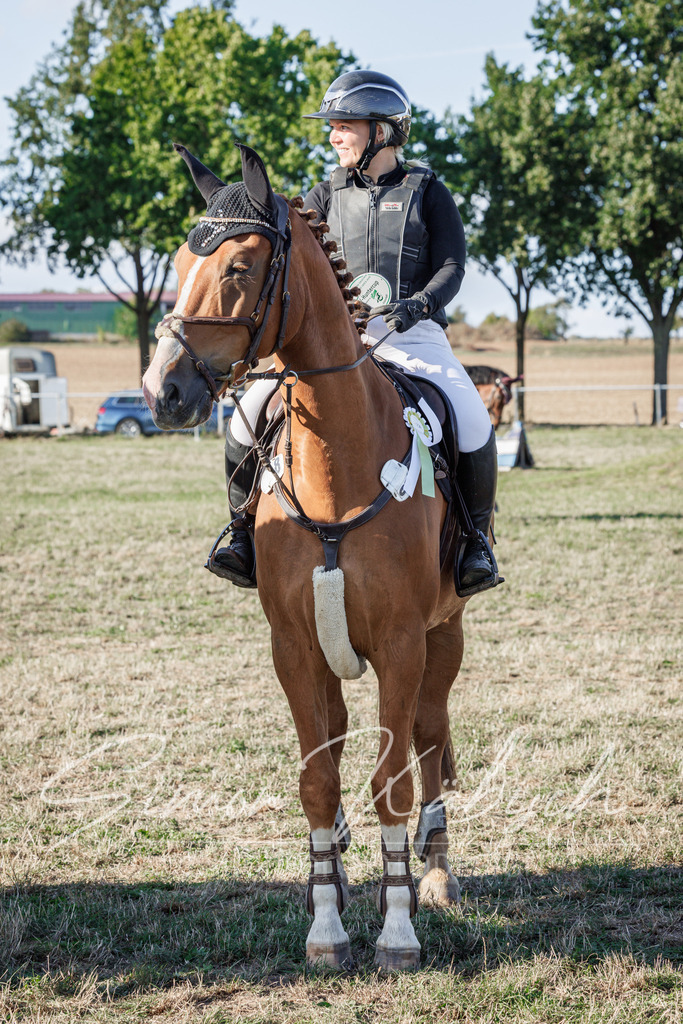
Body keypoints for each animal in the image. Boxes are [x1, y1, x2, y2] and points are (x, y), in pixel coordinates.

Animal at [143, 144, 471, 972]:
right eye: (178, 263)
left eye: (238, 268)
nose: (161, 393)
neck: (336, 462)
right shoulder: (292, 647)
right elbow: (318, 779)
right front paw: (326, 924)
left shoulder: (400, 645)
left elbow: (392, 780)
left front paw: (398, 930)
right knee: (345, 736)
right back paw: (346, 870)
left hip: (444, 634)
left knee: (429, 741)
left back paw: (435, 873)